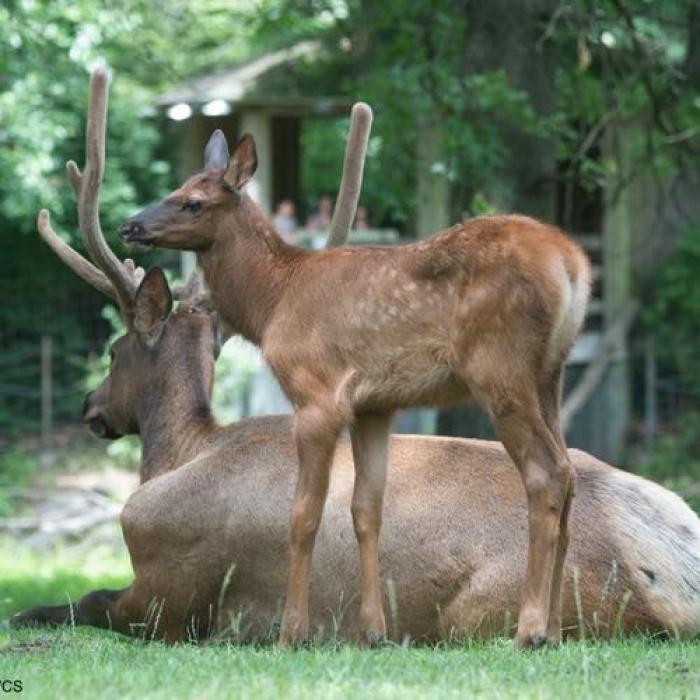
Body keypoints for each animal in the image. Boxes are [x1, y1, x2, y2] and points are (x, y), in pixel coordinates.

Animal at [10, 270, 700, 644]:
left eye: (113, 350)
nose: (89, 406)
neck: (176, 454)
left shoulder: (169, 595)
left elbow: (81, 602)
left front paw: (20, 614)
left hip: (478, 613)